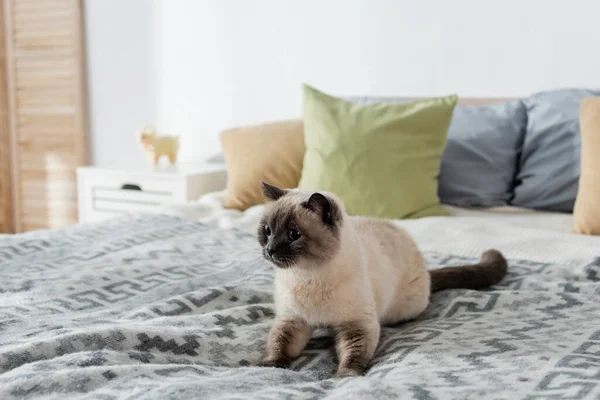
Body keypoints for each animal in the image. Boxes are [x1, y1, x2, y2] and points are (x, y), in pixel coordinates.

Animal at [255, 181, 508, 378]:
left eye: (294, 234)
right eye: (267, 230)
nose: (270, 250)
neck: (306, 275)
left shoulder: (357, 325)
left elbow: (353, 354)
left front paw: (344, 376)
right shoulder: (293, 320)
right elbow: (279, 344)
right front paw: (270, 365)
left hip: (404, 309)